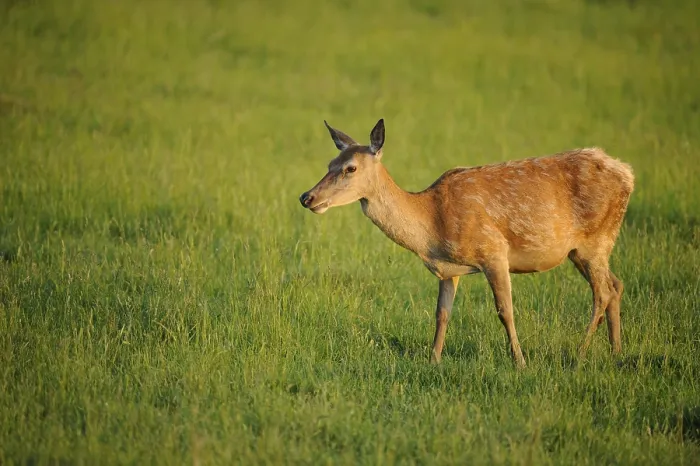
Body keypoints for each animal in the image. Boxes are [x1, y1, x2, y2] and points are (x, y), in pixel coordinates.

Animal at [299, 119, 634, 368]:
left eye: (350, 168)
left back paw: (579, 355)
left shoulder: (493, 251)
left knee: (603, 292)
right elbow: (442, 313)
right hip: (581, 250)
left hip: (596, 239)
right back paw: (616, 352)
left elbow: (505, 310)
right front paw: (433, 360)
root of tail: (628, 174)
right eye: (330, 162)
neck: (432, 225)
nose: (307, 197)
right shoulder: (449, 270)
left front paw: (520, 362)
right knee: (616, 285)